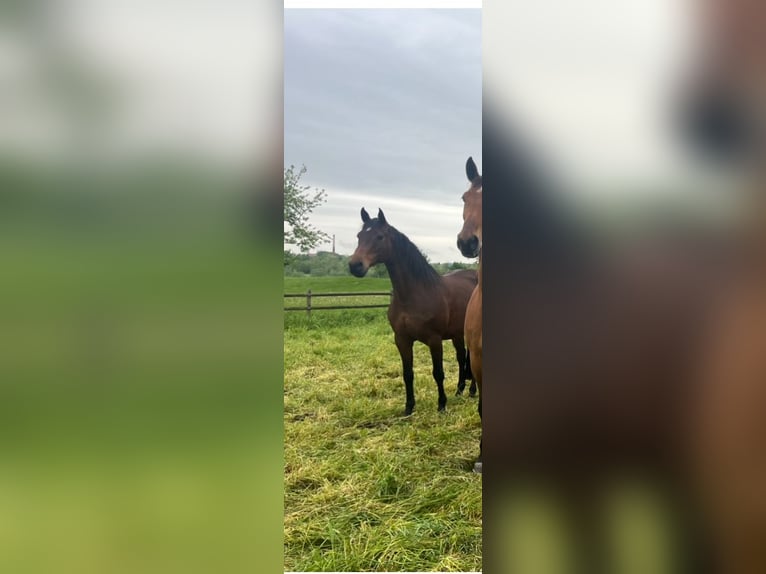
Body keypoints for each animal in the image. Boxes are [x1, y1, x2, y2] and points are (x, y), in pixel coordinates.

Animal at [350, 209, 480, 416]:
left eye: (379, 237)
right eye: (359, 236)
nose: (355, 265)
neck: (413, 295)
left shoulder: (434, 340)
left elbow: (438, 373)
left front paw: (441, 405)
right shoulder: (402, 340)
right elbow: (407, 373)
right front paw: (409, 407)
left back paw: (472, 390)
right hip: (456, 334)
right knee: (461, 358)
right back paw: (460, 390)